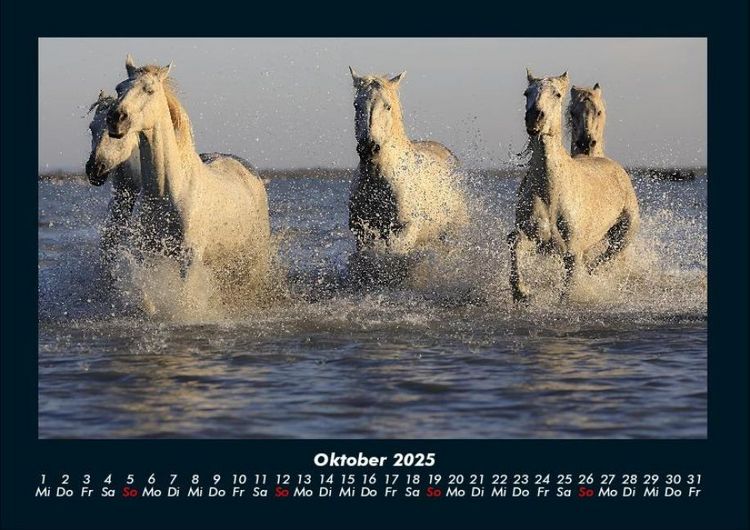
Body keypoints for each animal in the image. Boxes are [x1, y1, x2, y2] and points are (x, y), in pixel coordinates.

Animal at [87, 55, 272, 305]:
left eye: (150, 90)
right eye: (119, 88)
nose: (116, 119)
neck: (168, 192)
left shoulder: (189, 258)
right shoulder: (150, 254)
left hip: (254, 259)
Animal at [347, 67, 468, 264]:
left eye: (387, 106)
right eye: (356, 105)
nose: (368, 148)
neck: (379, 179)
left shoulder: (404, 231)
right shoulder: (362, 233)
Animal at [507, 70, 640, 302]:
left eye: (557, 94)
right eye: (526, 93)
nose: (534, 118)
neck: (551, 191)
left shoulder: (572, 250)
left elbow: (568, 287)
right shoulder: (535, 237)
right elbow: (515, 242)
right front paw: (522, 291)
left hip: (623, 235)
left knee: (606, 258)